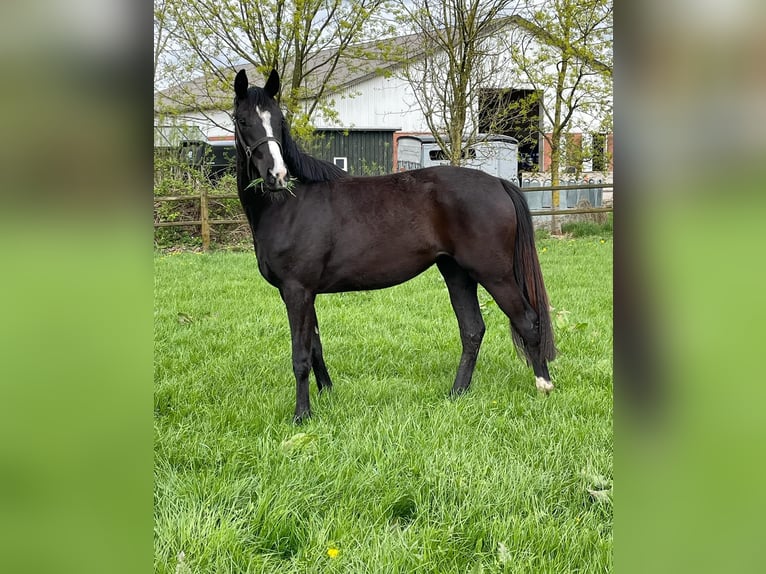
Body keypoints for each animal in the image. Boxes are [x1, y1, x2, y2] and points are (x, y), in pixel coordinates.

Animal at [231, 71, 556, 424]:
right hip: (457, 273)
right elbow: (315, 346)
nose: (277, 175)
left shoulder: (296, 291)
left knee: (528, 321)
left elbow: (301, 355)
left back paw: (544, 386)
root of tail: (499, 183)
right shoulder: (304, 293)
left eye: (279, 120)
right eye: (243, 120)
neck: (289, 203)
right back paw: (457, 393)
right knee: (472, 330)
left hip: (495, 274)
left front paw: (301, 415)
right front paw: (326, 393)